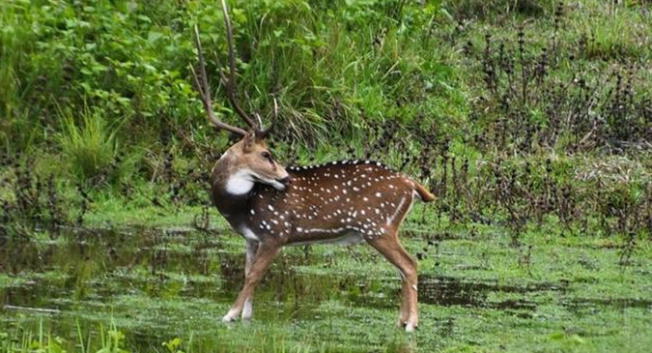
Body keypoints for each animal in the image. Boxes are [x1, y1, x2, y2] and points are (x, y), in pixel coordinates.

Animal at [191, 0, 436, 332]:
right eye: (267, 154)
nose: (286, 178)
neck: (241, 206)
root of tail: (413, 185)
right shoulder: (252, 238)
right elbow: (247, 273)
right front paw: (245, 316)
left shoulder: (276, 232)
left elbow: (254, 276)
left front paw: (229, 314)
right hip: (383, 228)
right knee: (403, 266)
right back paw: (401, 321)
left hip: (377, 225)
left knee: (410, 264)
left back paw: (411, 324)